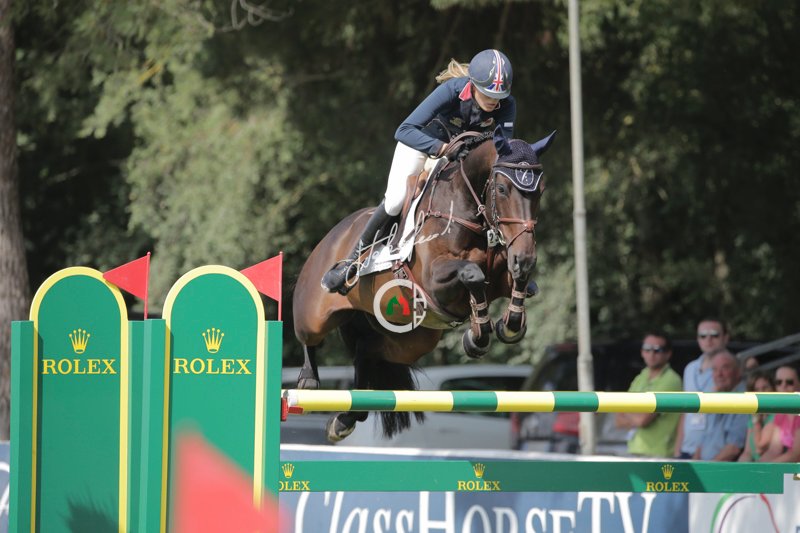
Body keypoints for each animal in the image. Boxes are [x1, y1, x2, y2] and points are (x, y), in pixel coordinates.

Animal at [293, 126, 556, 442]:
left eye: (540, 191)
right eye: (502, 189)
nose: (525, 256)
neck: (467, 210)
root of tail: (332, 234)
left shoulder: (503, 273)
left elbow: (517, 281)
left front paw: (507, 326)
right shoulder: (434, 281)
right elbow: (473, 274)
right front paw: (477, 337)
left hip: (409, 340)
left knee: (367, 350)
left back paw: (344, 419)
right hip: (315, 313)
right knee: (309, 337)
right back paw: (308, 382)